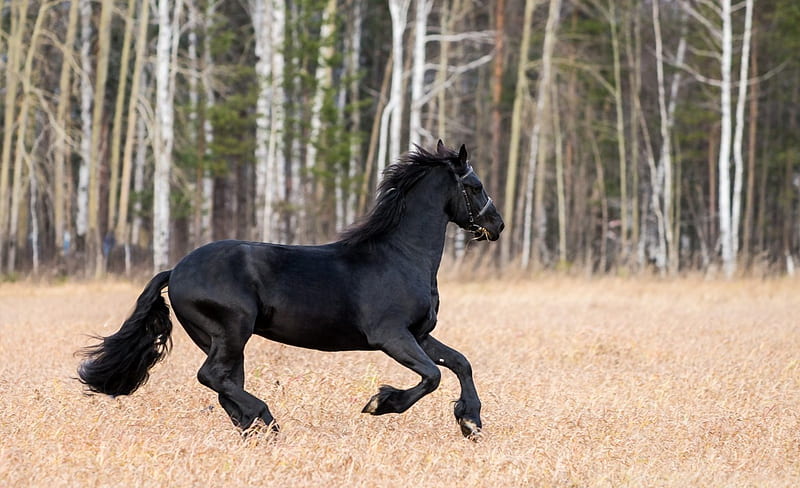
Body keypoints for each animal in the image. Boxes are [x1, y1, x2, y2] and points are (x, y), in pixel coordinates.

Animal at [81, 140, 506, 438]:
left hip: (217, 338)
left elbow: (460, 362)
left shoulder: (420, 334)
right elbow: (432, 377)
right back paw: (266, 419)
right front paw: (380, 403)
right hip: (231, 331)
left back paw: (256, 428)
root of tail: (175, 270)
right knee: (213, 377)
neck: (400, 257)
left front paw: (470, 421)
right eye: (475, 185)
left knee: (225, 383)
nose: (497, 225)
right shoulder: (391, 336)